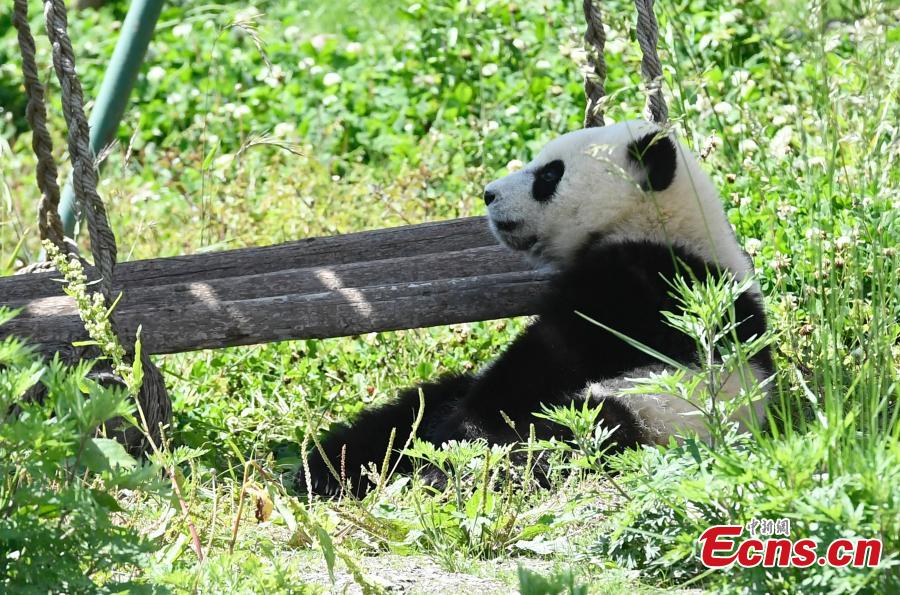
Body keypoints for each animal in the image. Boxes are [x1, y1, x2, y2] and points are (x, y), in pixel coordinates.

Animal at [300, 117, 772, 498]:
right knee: (417, 405)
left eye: (548, 174)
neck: (662, 222)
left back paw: (448, 471)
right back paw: (330, 465)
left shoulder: (649, 285)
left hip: (648, 410)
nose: (488, 194)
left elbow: (553, 355)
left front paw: (458, 437)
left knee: (565, 432)